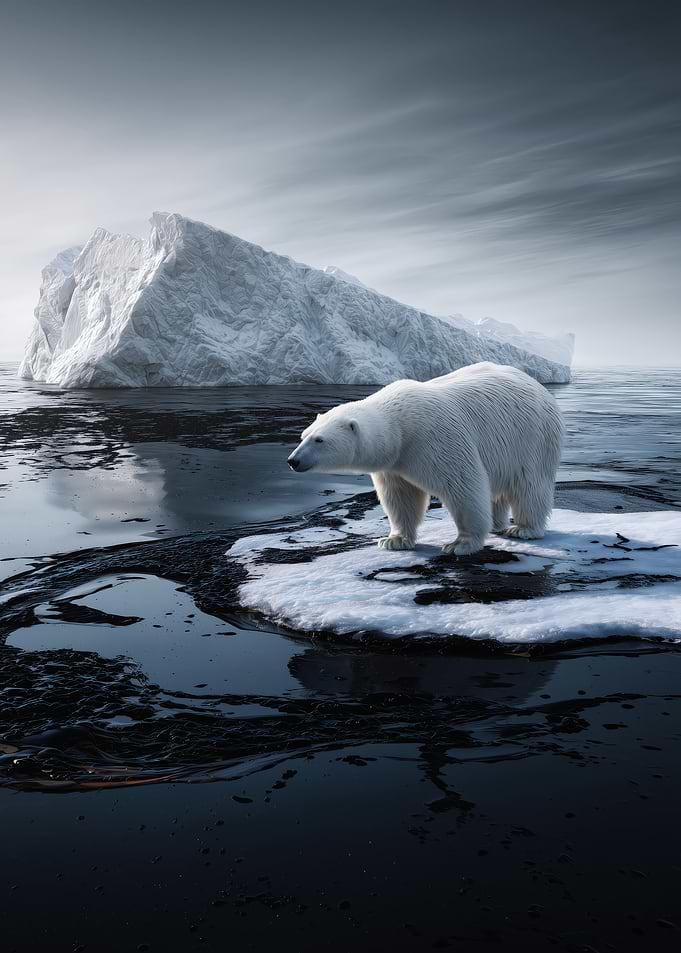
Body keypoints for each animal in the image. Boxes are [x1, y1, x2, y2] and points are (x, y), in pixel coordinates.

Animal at [287, 362, 564, 556]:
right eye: (304, 435)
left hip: (532, 438)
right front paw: (393, 540)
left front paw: (460, 544)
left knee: (530, 486)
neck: (400, 424)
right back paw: (498, 523)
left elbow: (465, 487)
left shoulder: (437, 439)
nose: (293, 461)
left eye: (319, 440)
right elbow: (400, 497)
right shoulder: (395, 462)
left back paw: (523, 529)